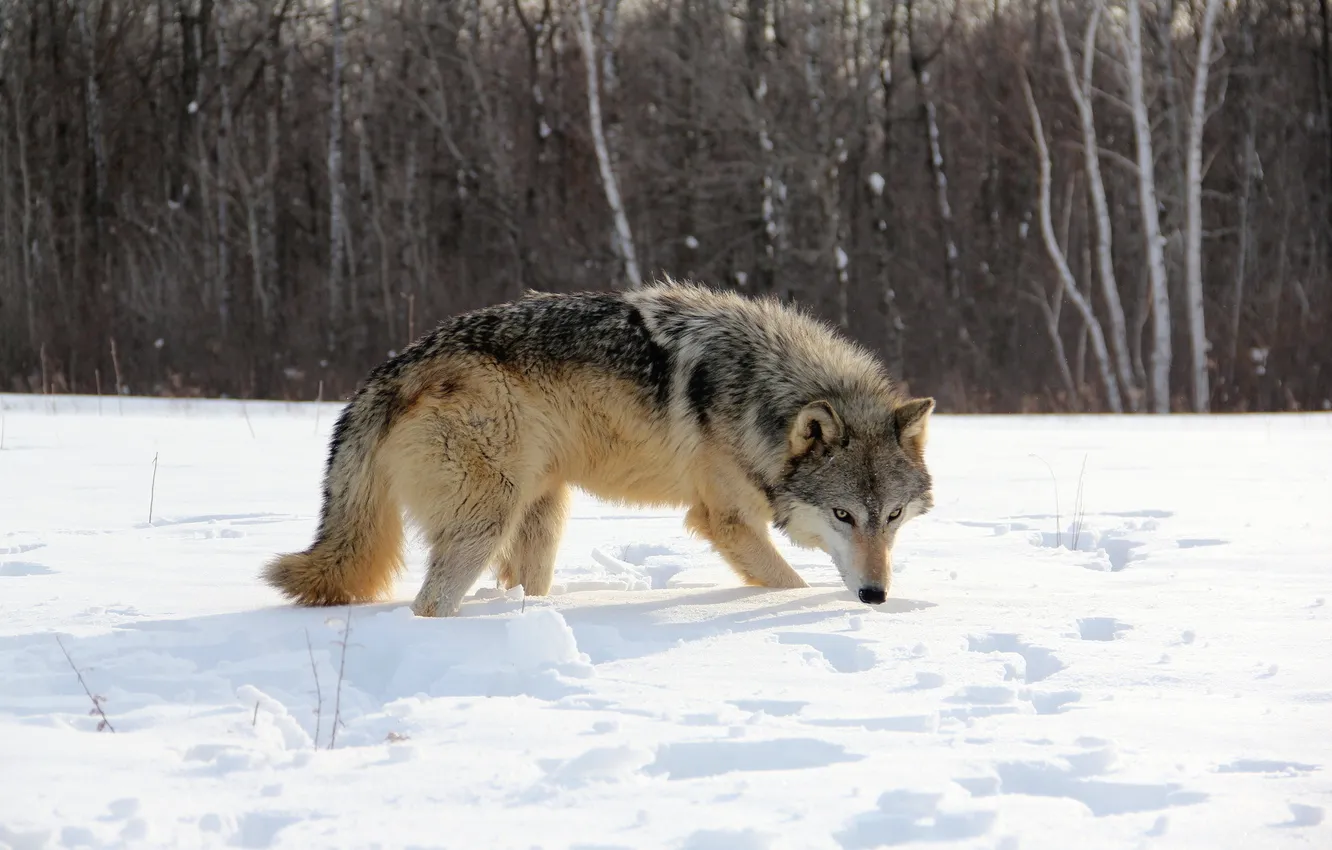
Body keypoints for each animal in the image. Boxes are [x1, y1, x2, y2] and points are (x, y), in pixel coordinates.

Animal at [265, 279, 937, 618]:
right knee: (429, 604)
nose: (876, 597)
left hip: (542, 511)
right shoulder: (724, 519)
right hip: (486, 521)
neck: (758, 392)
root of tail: (392, 369)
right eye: (842, 515)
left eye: (892, 516)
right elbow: (789, 582)